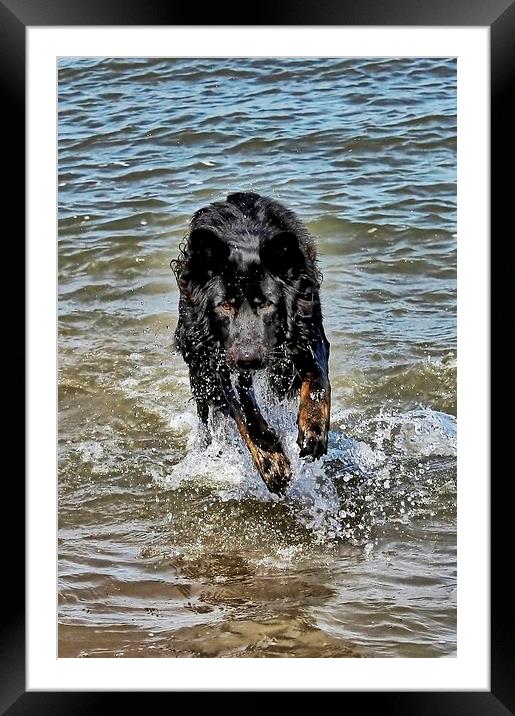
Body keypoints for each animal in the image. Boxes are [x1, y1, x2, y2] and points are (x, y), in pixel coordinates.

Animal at [173, 190, 330, 496]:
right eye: (225, 305)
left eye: (266, 304)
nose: (249, 359)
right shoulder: (221, 359)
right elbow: (244, 412)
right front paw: (272, 462)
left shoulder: (307, 332)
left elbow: (318, 381)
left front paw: (314, 429)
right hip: (199, 370)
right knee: (207, 416)